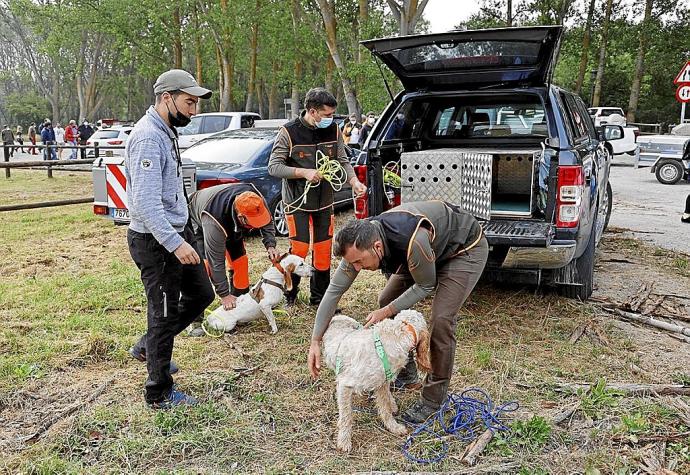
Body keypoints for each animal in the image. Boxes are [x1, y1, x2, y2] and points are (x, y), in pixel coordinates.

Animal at [320, 308, 428, 454]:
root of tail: (336, 317)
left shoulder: (382, 383)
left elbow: (385, 408)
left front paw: (393, 427)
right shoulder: (345, 384)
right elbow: (346, 416)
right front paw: (344, 441)